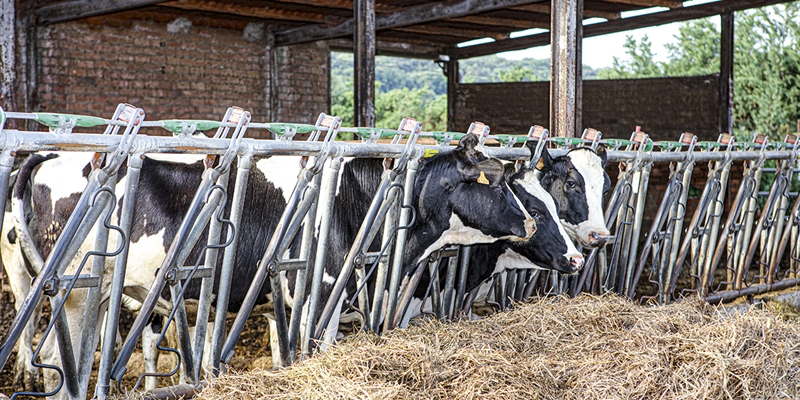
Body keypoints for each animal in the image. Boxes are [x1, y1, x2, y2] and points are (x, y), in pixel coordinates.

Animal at [3, 133, 536, 396]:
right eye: (496, 183)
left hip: (83, 296)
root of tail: (50, 155)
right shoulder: (318, 294)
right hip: (75, 289)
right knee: (56, 363)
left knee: (63, 361)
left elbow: (284, 353)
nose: (531, 222)